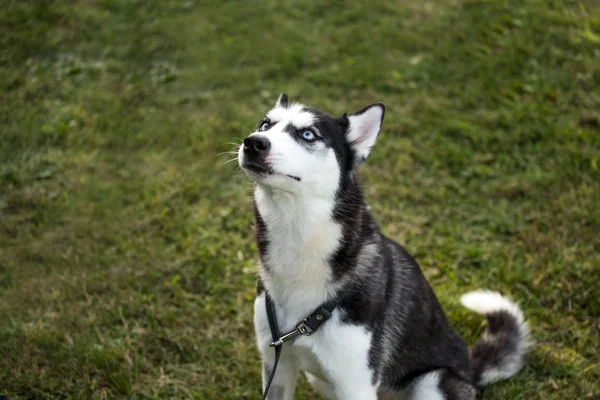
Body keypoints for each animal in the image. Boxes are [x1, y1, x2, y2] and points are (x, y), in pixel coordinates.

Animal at [238, 94, 528, 400]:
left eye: (308, 134)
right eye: (265, 125)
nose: (254, 142)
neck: (297, 239)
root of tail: (471, 372)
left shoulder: (355, 383)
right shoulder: (276, 364)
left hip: (431, 383)